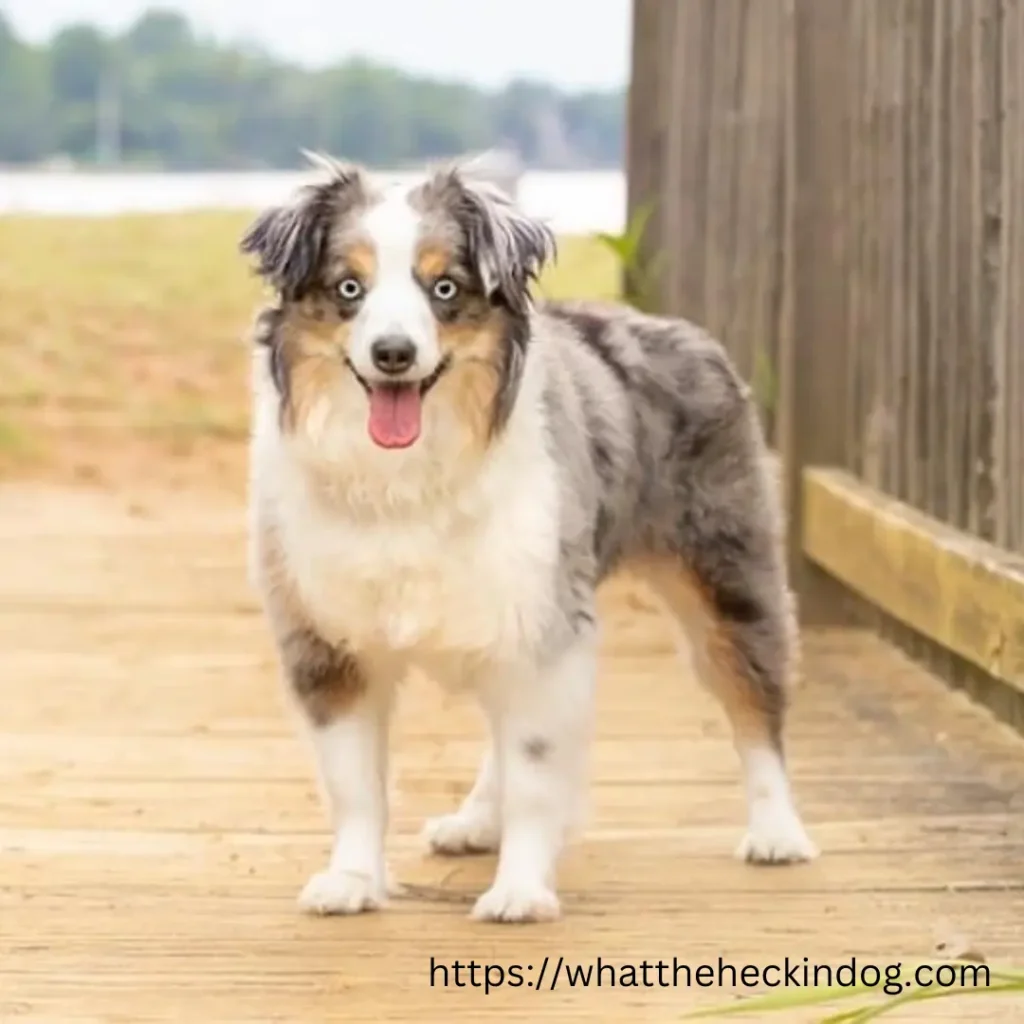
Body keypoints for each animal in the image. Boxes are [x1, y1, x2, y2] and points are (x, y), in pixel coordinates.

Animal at [237, 151, 815, 929]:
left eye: (444, 288)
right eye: (348, 288)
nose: (393, 354)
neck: (404, 471)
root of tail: (680, 329)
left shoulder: (544, 627)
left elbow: (538, 765)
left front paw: (520, 890)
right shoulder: (327, 637)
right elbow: (353, 781)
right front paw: (352, 879)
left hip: (728, 574)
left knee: (756, 700)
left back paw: (777, 830)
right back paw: (477, 820)